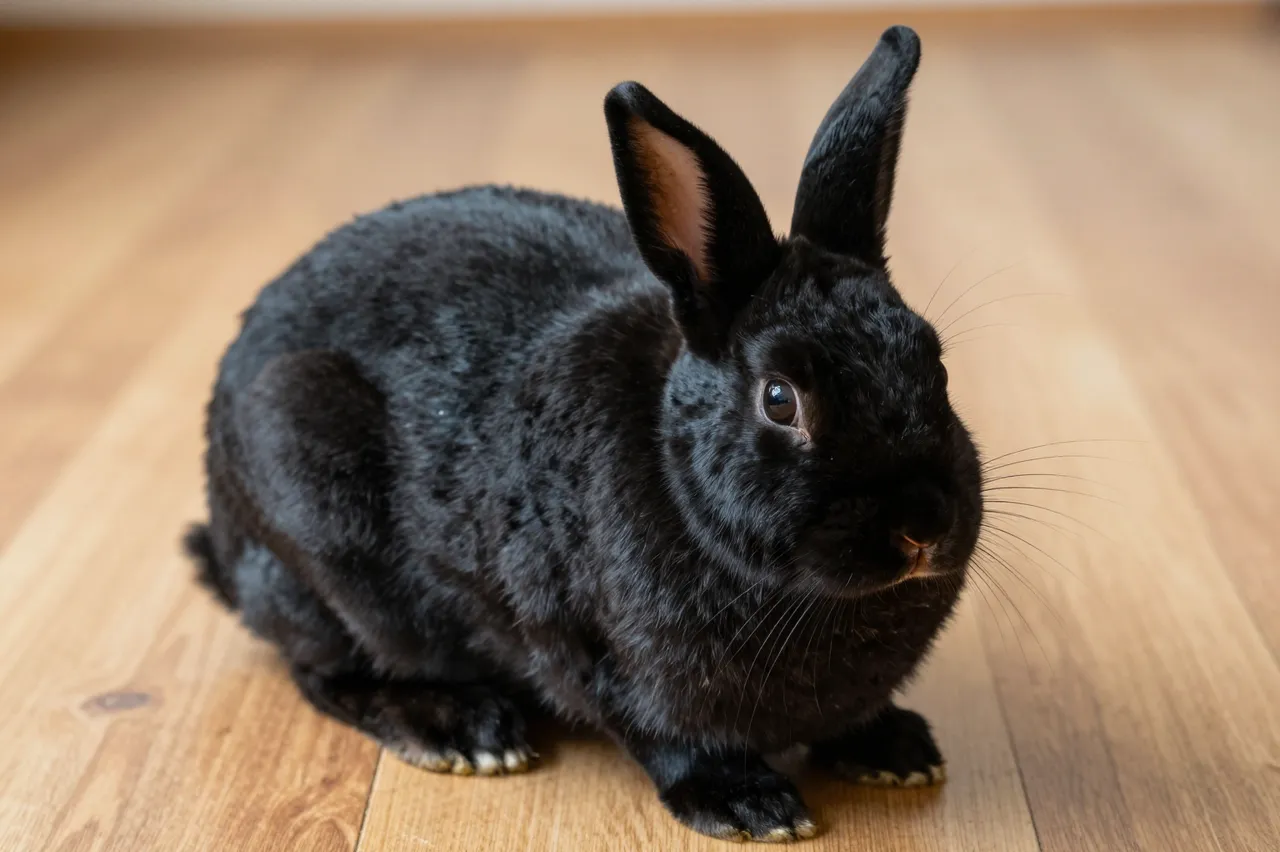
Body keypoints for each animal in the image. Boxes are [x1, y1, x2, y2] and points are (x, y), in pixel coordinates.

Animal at [184, 24, 982, 843]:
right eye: (780, 400)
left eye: (934, 361)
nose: (922, 525)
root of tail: (223, 539)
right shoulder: (597, 651)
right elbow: (665, 737)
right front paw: (749, 806)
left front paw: (894, 750)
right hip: (316, 517)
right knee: (327, 671)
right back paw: (464, 730)